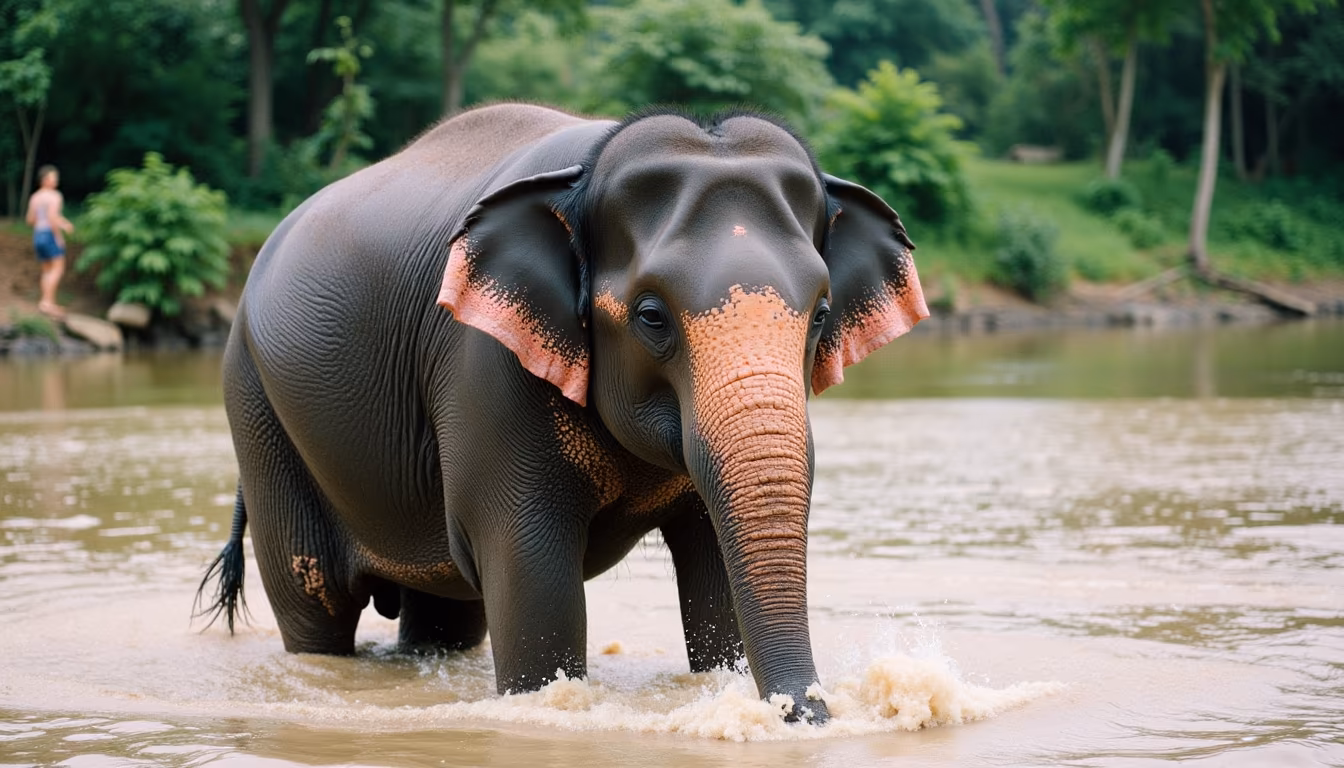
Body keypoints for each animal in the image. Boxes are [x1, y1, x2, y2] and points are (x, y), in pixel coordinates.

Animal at [196, 103, 927, 723]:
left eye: (822, 313)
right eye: (652, 316)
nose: (805, 714)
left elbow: (713, 568)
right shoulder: (485, 365)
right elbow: (532, 574)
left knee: (445, 615)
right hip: (256, 401)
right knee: (314, 600)